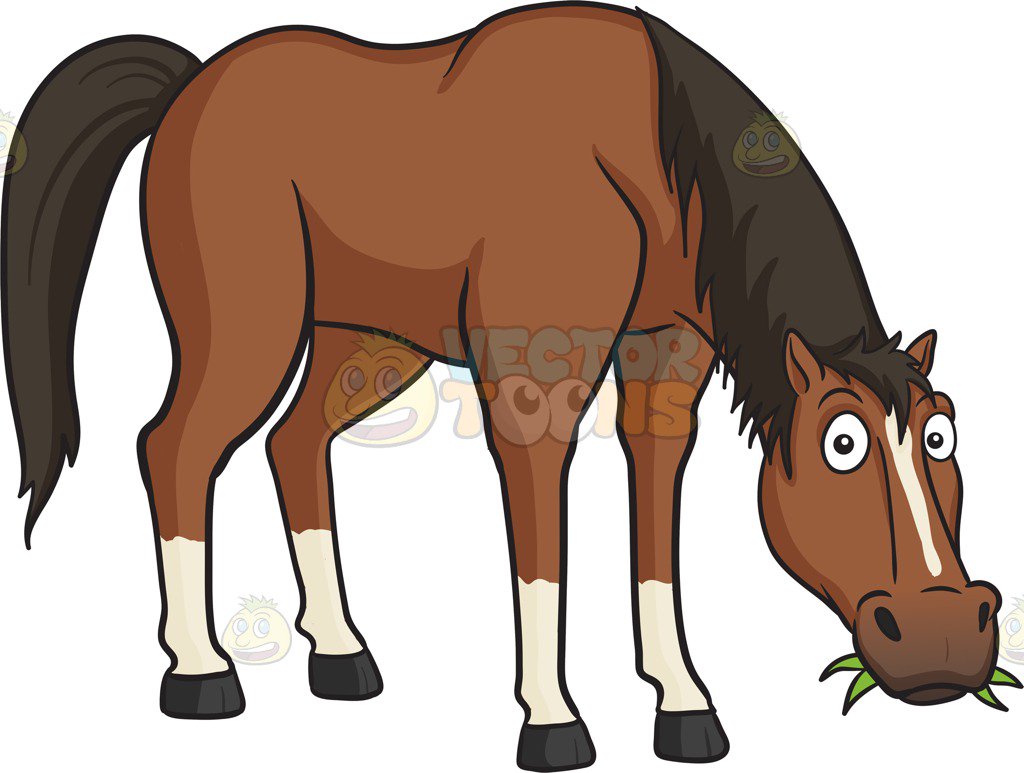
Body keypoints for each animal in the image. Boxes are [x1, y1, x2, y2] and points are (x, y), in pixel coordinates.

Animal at [1, 3, 1003, 770]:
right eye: (842, 443)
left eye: (942, 435)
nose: (946, 636)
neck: (654, 150)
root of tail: (189, 84)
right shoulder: (532, 384)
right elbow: (542, 550)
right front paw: (553, 718)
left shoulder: (666, 361)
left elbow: (654, 522)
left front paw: (681, 702)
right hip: (249, 329)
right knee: (174, 448)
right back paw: (200, 670)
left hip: (367, 339)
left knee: (293, 444)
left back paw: (340, 650)